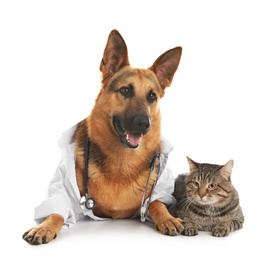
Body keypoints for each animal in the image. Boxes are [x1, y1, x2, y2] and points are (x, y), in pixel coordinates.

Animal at [23, 29, 184, 245]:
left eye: (152, 96)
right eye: (125, 90)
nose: (144, 124)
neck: (122, 163)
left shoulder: (162, 189)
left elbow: (156, 203)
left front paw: (167, 218)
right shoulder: (64, 190)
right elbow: (55, 212)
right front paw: (44, 227)